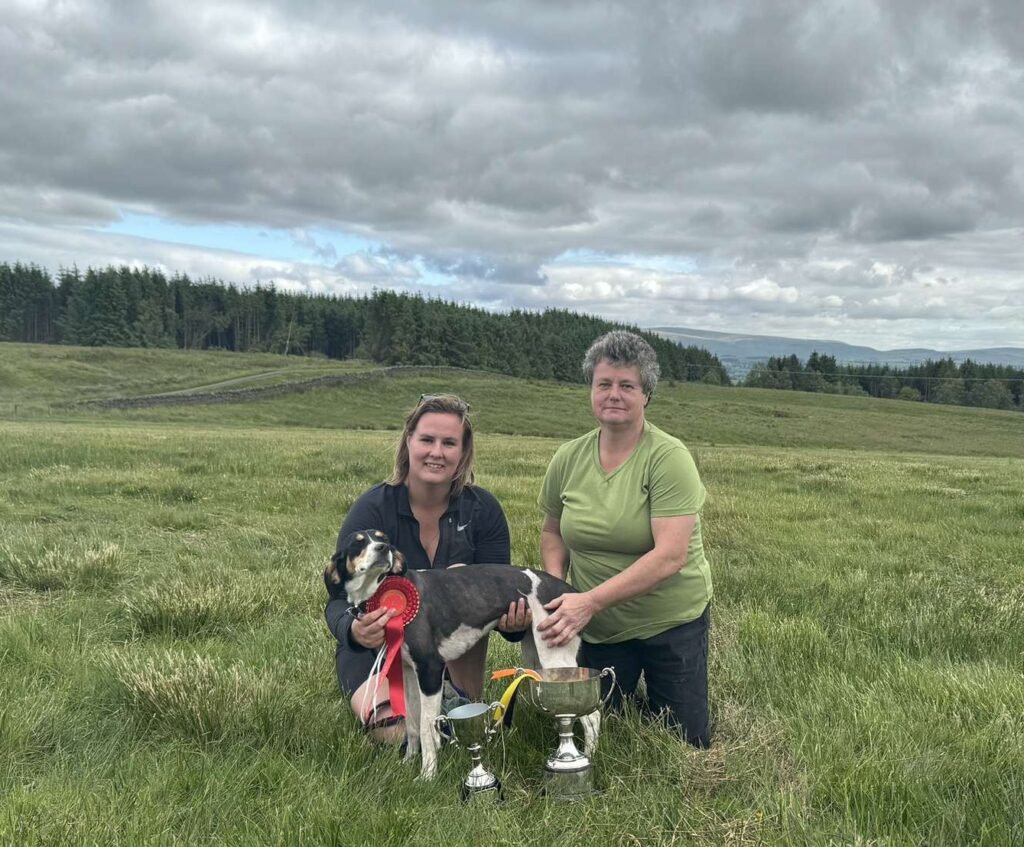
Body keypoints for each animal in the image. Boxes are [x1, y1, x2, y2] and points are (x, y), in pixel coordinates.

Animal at [325, 529, 600, 779]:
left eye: (384, 539)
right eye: (358, 543)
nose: (383, 549)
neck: (384, 589)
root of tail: (569, 591)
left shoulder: (431, 670)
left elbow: (426, 728)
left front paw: (427, 776)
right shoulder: (409, 672)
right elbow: (412, 723)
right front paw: (407, 762)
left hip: (555, 660)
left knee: (593, 715)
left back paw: (586, 758)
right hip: (537, 657)